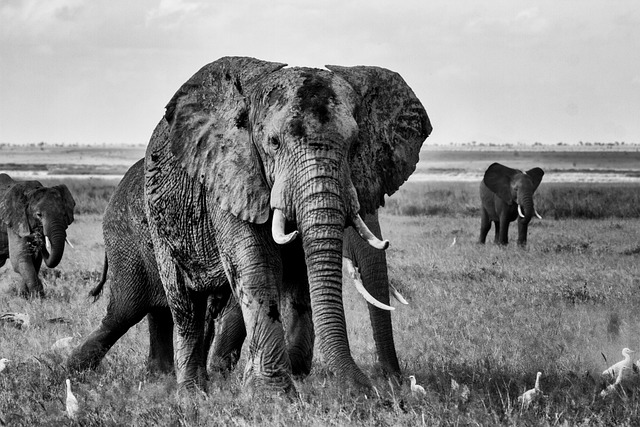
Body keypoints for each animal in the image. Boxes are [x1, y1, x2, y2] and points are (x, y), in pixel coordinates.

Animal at [143, 56, 432, 394]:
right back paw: (192, 394)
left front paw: (297, 378)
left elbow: (297, 274)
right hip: (159, 217)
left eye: (354, 145)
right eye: (274, 143)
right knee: (185, 303)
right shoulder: (230, 176)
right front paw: (273, 394)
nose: (381, 389)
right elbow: (256, 264)